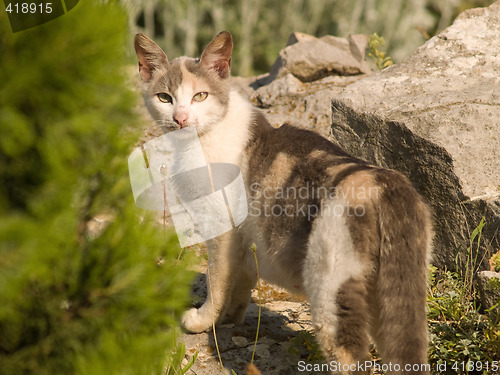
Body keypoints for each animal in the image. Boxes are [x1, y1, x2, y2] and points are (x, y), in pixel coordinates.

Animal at [134, 30, 434, 374]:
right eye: (164, 98)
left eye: (200, 96)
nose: (181, 118)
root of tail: (386, 183)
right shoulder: (244, 241)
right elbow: (239, 282)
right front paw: (228, 319)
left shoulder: (222, 229)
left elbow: (216, 279)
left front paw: (201, 320)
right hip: (396, 299)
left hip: (331, 289)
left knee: (350, 358)